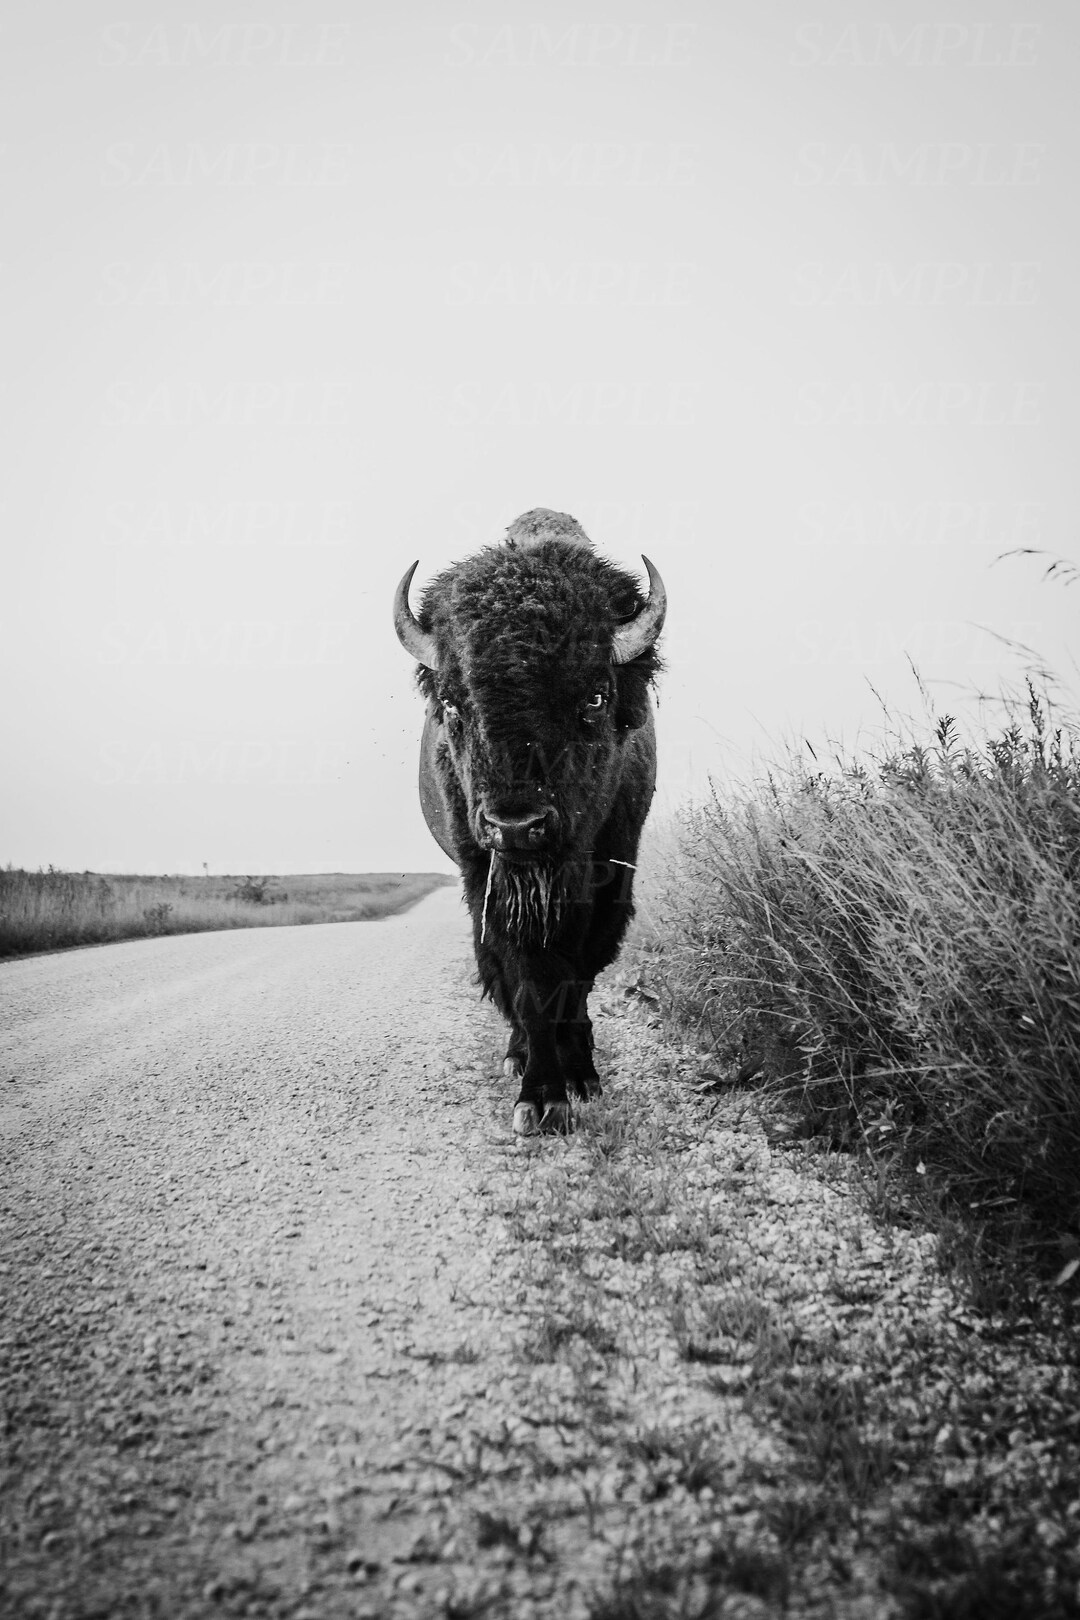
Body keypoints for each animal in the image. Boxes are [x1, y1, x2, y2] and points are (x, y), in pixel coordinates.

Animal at [394, 509, 666, 1134]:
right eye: (452, 704)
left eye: (594, 697)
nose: (516, 825)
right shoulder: (493, 880)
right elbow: (529, 977)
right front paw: (541, 1098)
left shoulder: (610, 877)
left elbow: (578, 973)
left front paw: (582, 1078)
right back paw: (519, 1056)